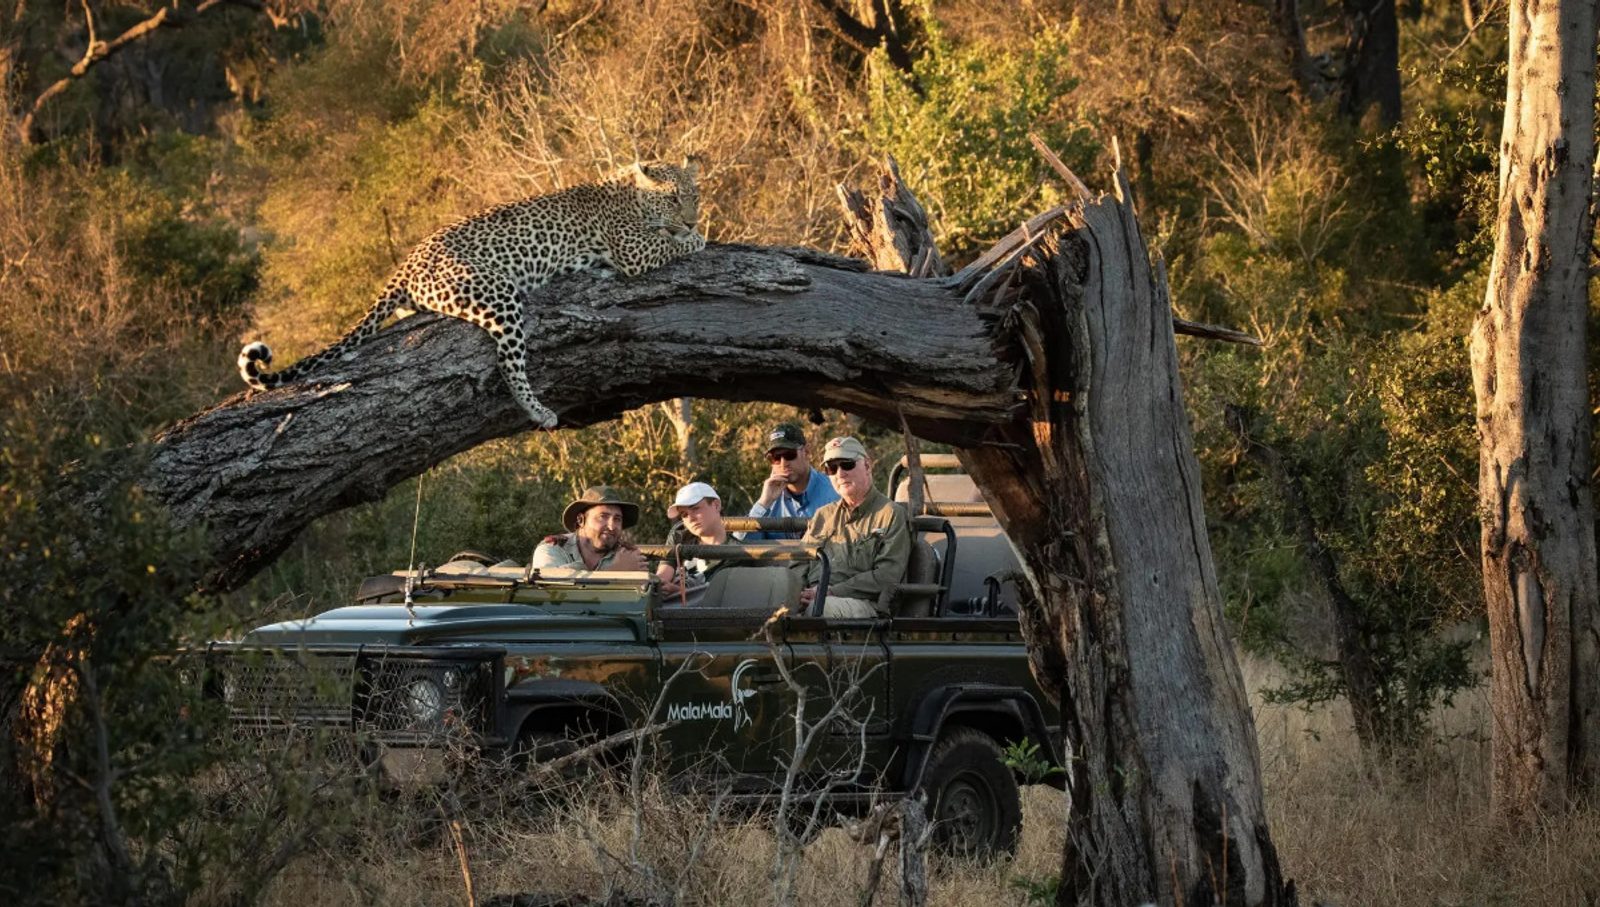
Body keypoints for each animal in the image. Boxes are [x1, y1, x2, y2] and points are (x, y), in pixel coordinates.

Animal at [237, 159, 706, 428]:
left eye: (695, 195)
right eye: (673, 198)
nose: (691, 217)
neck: (632, 194)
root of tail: (406, 263)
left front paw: (696, 231)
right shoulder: (634, 251)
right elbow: (672, 243)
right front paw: (698, 237)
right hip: (497, 293)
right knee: (509, 363)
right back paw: (539, 411)